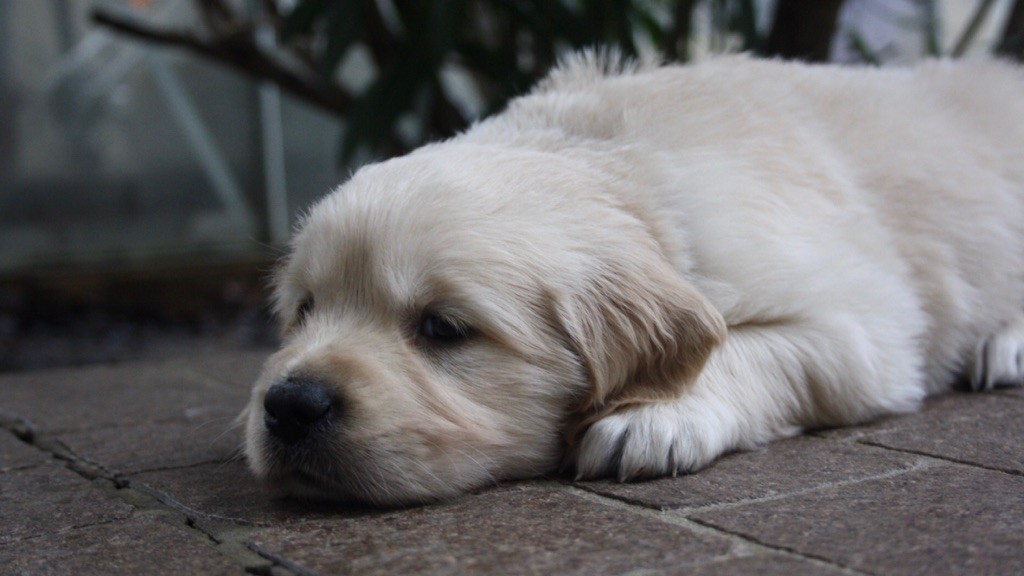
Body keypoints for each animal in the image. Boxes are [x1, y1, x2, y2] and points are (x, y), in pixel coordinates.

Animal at [243, 53, 1024, 506]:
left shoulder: (863, 326)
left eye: (442, 327)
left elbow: (744, 347)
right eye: (305, 310)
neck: (610, 156)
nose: (288, 404)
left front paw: (651, 416)